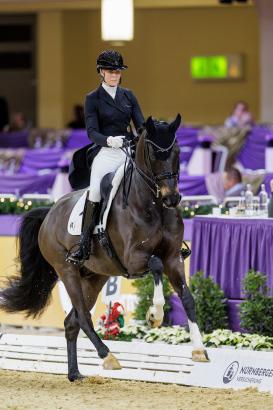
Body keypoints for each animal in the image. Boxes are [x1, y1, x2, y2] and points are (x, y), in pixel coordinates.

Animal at [0, 114, 208, 382]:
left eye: (178, 152)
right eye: (153, 153)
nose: (171, 198)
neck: (153, 206)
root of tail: (49, 213)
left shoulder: (174, 258)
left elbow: (188, 298)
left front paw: (199, 349)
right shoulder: (134, 259)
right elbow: (155, 264)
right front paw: (155, 315)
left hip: (94, 277)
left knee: (71, 322)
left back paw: (75, 373)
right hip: (67, 271)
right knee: (83, 317)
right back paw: (107, 356)